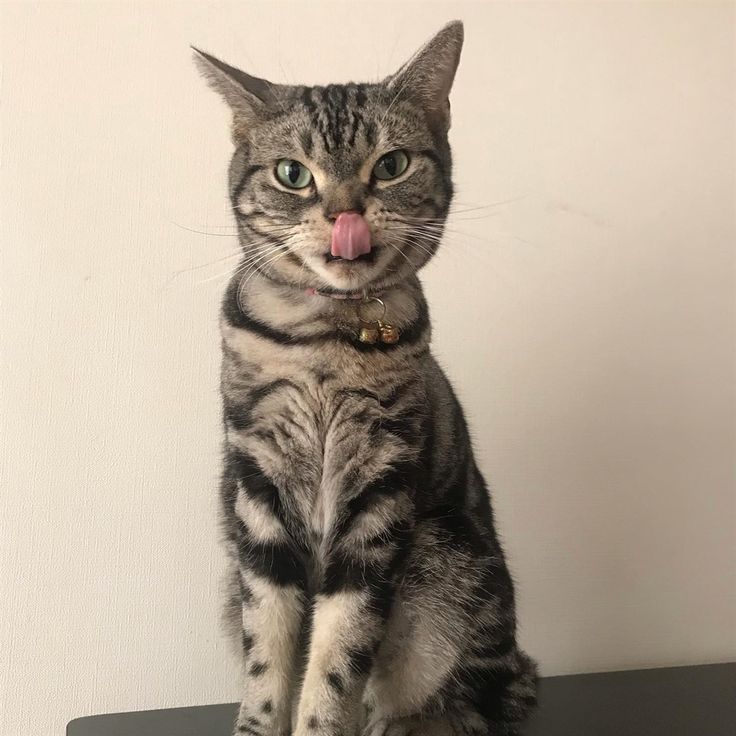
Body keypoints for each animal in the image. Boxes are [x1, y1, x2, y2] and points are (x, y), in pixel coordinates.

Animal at [193, 20, 536, 732]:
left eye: (392, 164)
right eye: (293, 175)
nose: (345, 213)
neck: (324, 338)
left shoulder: (380, 487)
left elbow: (340, 648)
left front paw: (321, 720)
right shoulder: (258, 489)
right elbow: (269, 647)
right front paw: (259, 722)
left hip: (449, 556)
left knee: (462, 697)